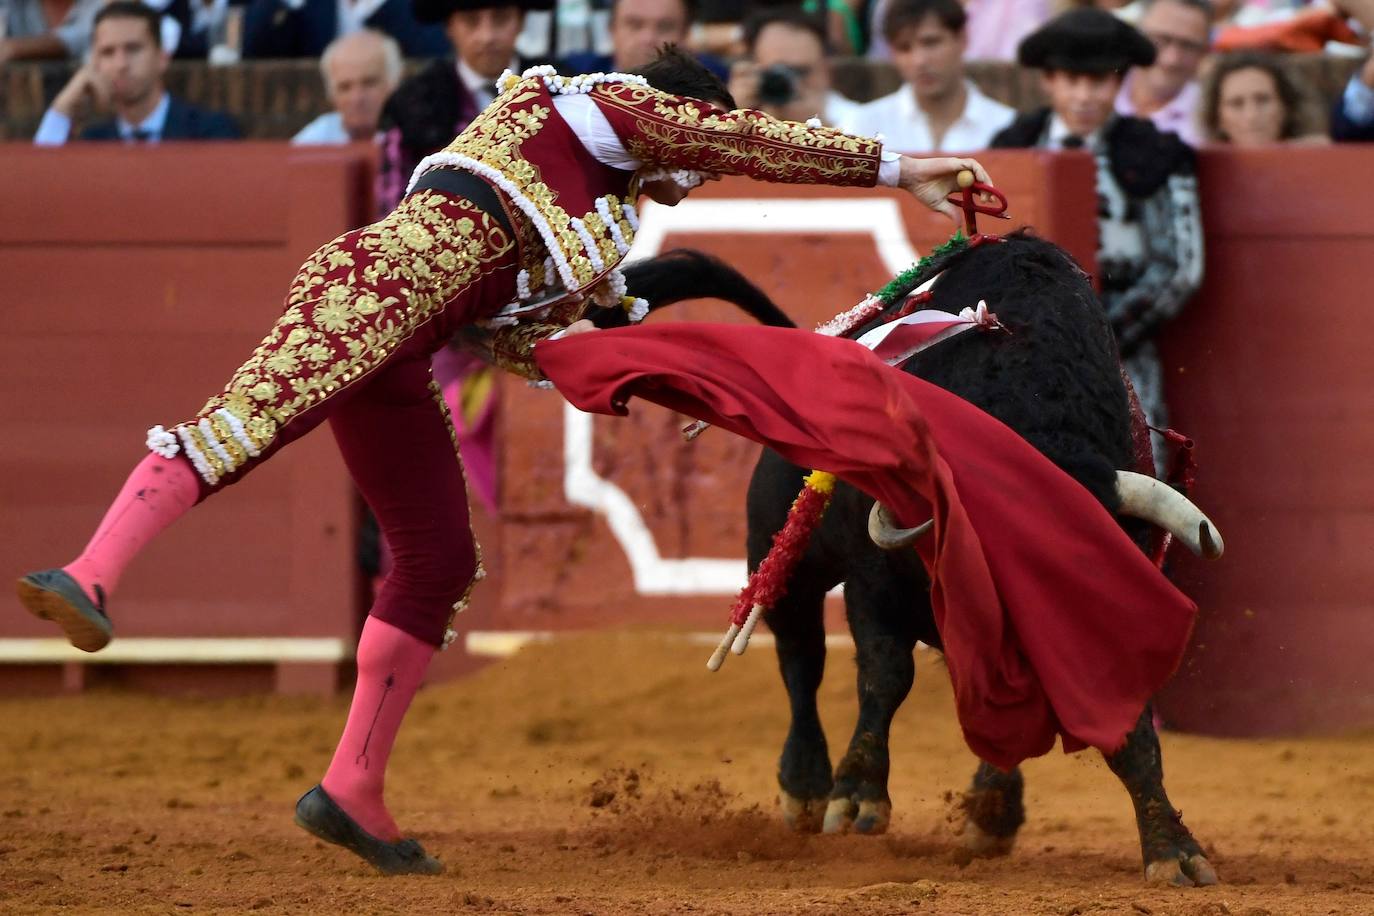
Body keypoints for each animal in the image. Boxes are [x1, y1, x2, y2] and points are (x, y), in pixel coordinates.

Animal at [612, 236, 1214, 889]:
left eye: (1079, 569)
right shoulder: (873, 584)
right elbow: (884, 675)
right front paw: (855, 798)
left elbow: (1127, 726)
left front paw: (1172, 848)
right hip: (783, 562)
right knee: (801, 663)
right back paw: (806, 787)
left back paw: (988, 811)